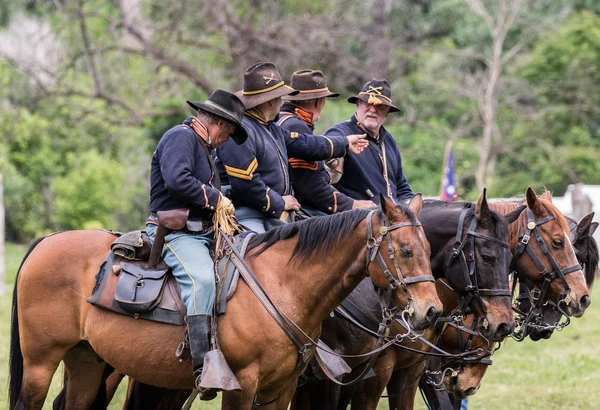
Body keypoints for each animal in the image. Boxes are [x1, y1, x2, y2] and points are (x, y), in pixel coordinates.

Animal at [8, 195, 440, 410]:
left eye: (428, 248)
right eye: (404, 250)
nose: (431, 312)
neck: (283, 284)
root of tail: (47, 241)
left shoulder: (280, 390)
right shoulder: (242, 386)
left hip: (87, 361)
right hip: (41, 364)